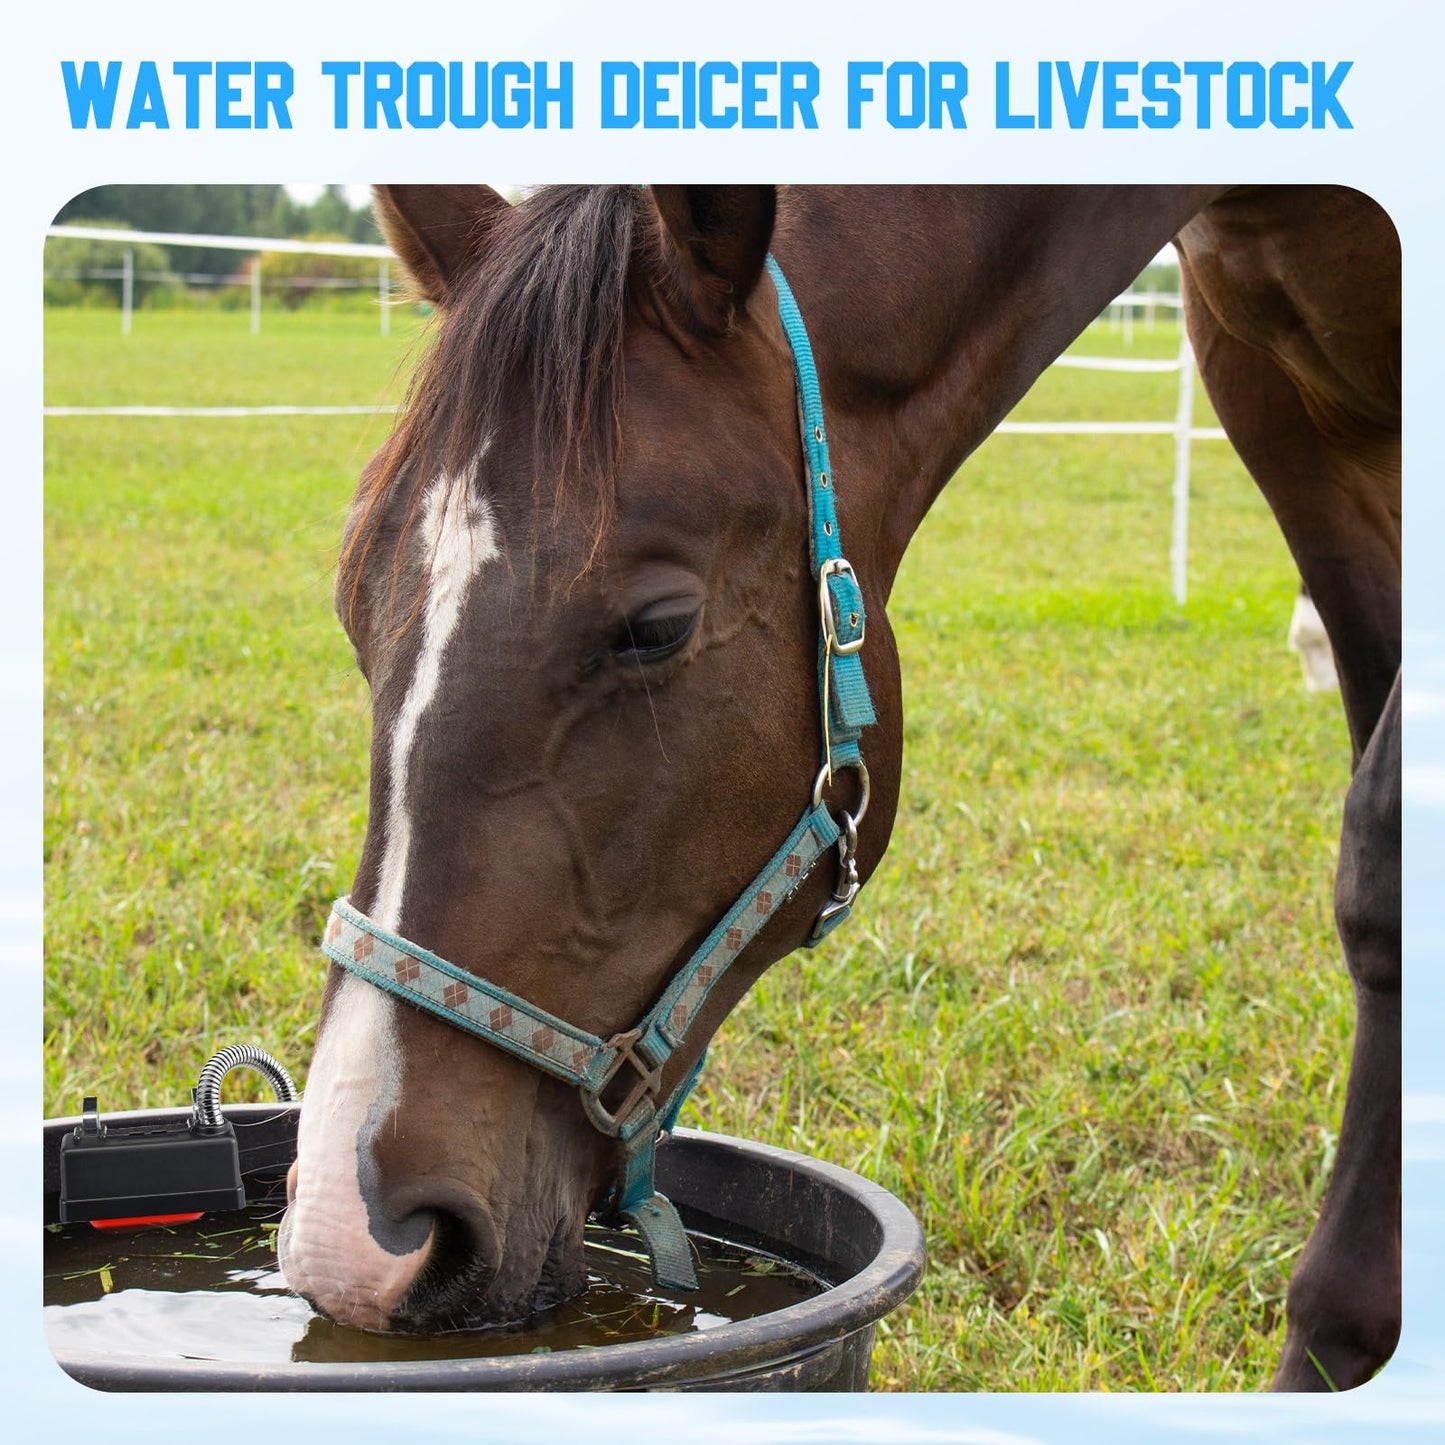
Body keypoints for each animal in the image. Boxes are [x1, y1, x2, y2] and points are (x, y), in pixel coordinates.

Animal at [276, 185, 1400, 1391]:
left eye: (655, 626)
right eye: (350, 597)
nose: (356, 1241)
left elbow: (1381, 855)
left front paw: (1335, 1346)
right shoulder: (1280, 403)